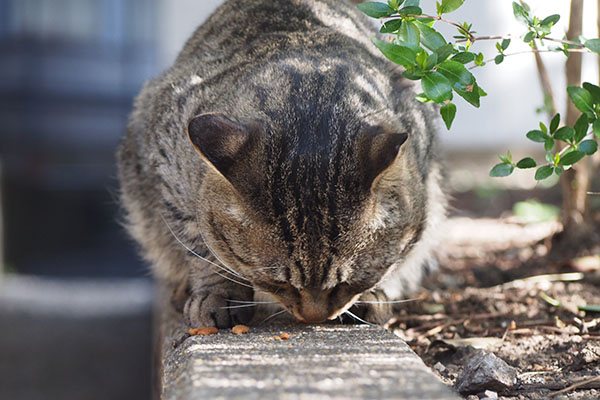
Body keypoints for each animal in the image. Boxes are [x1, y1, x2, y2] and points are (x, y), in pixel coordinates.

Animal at [117, 0, 446, 326]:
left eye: (347, 284)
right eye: (280, 284)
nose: (315, 318)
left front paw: (371, 295)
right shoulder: (167, 163)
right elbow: (202, 243)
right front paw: (218, 293)